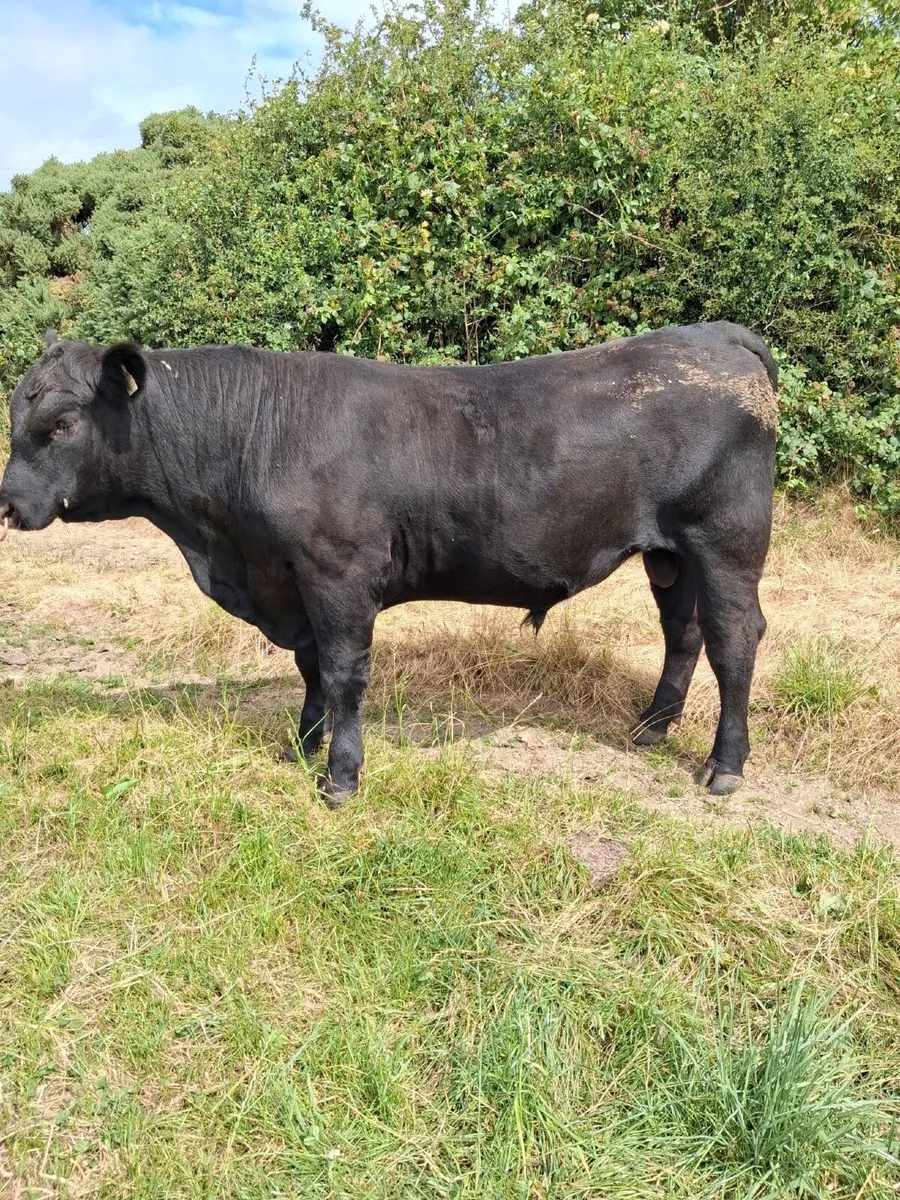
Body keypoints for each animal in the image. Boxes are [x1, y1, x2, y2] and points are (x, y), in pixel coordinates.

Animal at [0, 321, 777, 805]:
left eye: (60, 425)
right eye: (15, 415)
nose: (7, 503)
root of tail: (715, 334)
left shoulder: (338, 574)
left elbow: (345, 672)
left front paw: (339, 776)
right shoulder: (294, 579)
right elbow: (311, 668)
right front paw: (303, 745)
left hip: (727, 543)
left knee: (734, 641)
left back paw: (724, 766)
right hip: (669, 554)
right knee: (684, 633)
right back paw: (651, 729)